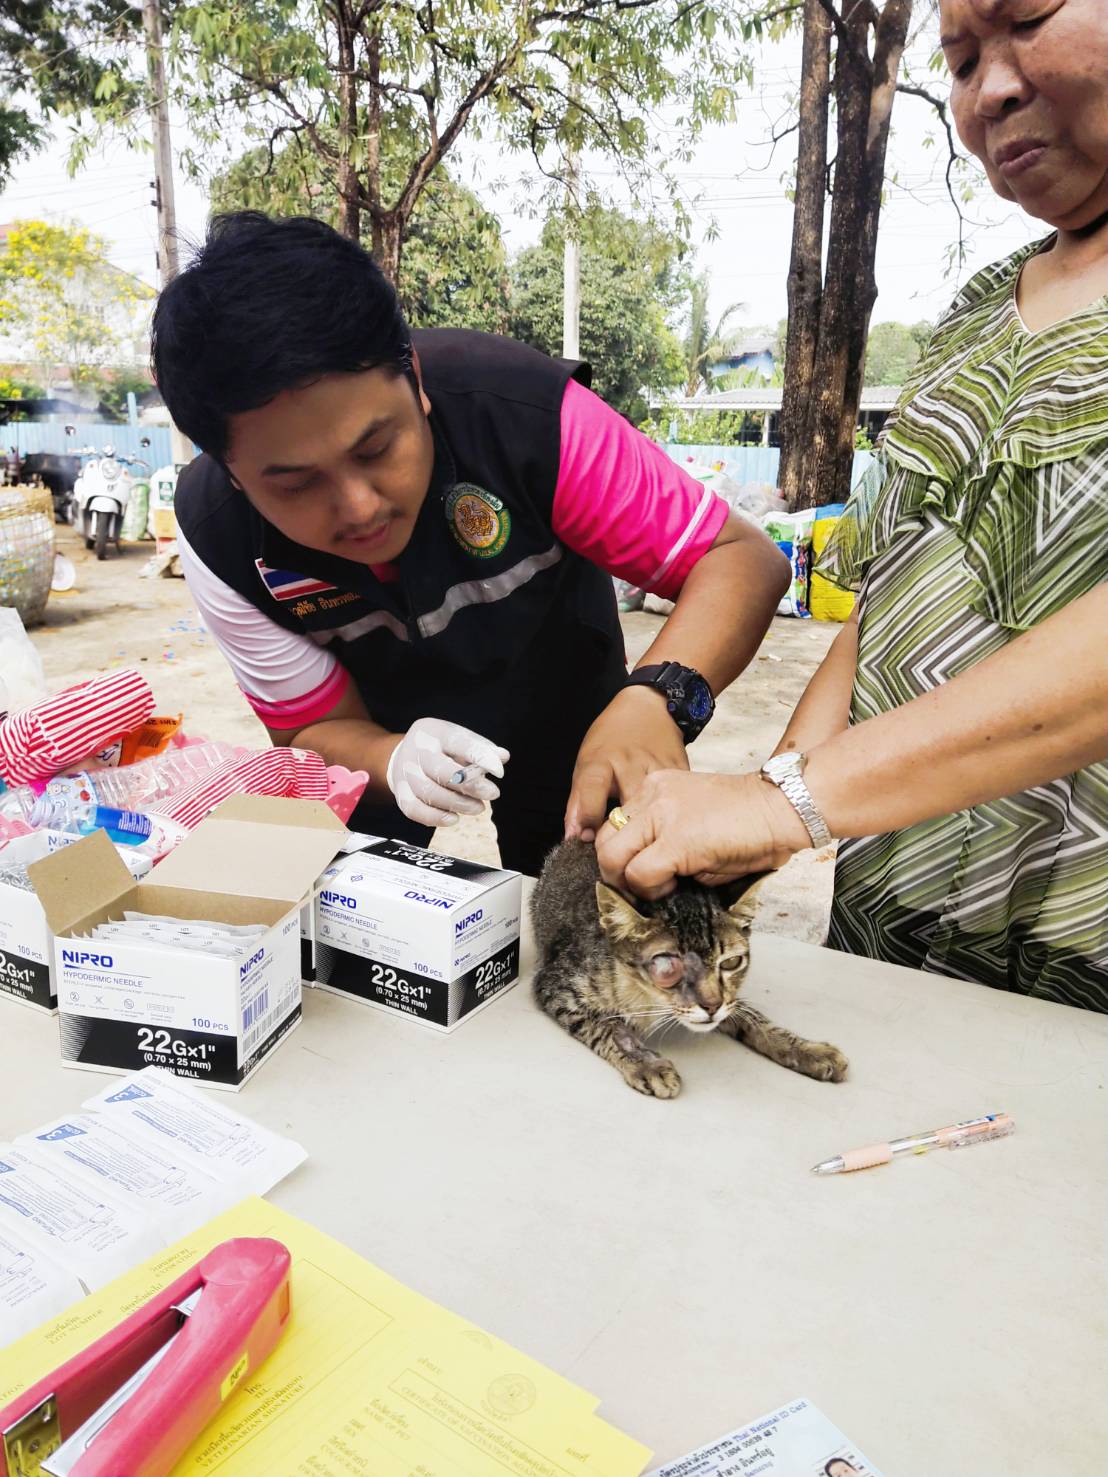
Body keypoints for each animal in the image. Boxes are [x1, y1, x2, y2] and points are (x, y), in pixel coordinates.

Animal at [528, 844, 850, 1098]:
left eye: (731, 963)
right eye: (667, 967)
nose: (711, 1006)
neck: (647, 998)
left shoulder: (729, 999)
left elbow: (754, 1018)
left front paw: (807, 1049)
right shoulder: (557, 985)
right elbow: (610, 1029)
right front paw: (647, 1064)